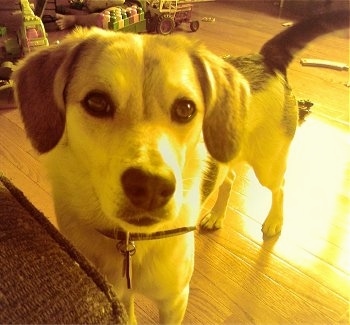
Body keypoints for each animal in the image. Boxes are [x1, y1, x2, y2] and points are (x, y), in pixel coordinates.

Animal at [12, 9, 348, 322]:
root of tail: (264, 58)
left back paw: (274, 221)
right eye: (96, 102)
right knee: (230, 176)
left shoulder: (175, 300)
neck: (130, 241)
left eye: (186, 108)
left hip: (268, 163)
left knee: (279, 187)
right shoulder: (119, 296)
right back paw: (216, 215)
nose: (150, 187)